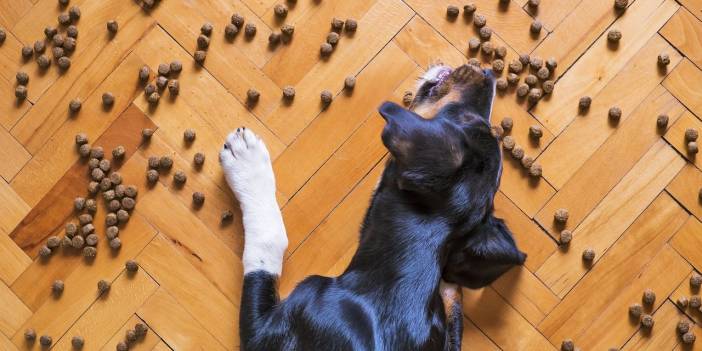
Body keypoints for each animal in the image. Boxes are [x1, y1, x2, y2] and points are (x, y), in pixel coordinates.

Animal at [221, 64, 528, 351]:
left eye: (464, 119)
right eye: (476, 121)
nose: (487, 73)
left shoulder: (263, 333)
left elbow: (268, 245)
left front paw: (246, 161)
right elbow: (453, 315)